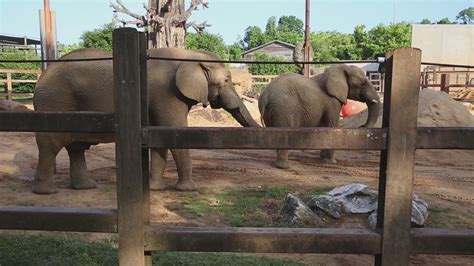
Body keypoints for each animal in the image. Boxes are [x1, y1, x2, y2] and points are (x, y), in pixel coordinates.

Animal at [32, 47, 260, 193]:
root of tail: (41, 76)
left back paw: (85, 187)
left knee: (76, 148)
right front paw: (189, 190)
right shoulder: (166, 93)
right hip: (55, 103)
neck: (189, 54)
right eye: (227, 81)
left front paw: (155, 189)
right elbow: (174, 132)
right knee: (51, 145)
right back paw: (46, 192)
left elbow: (160, 138)